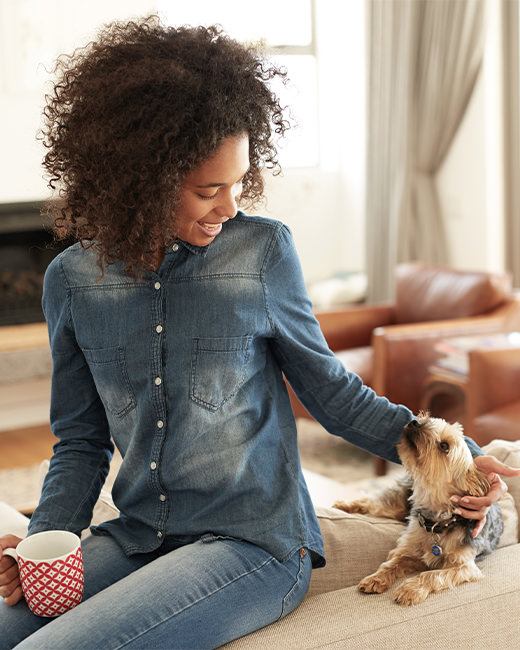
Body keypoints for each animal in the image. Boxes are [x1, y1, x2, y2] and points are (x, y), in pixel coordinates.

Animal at [334, 412, 504, 604]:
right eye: (429, 419)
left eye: (444, 446)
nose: (414, 421)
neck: (437, 520)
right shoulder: (407, 550)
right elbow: (390, 563)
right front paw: (376, 578)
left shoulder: (464, 567)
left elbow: (432, 575)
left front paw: (410, 589)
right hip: (396, 504)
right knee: (371, 502)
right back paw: (343, 505)